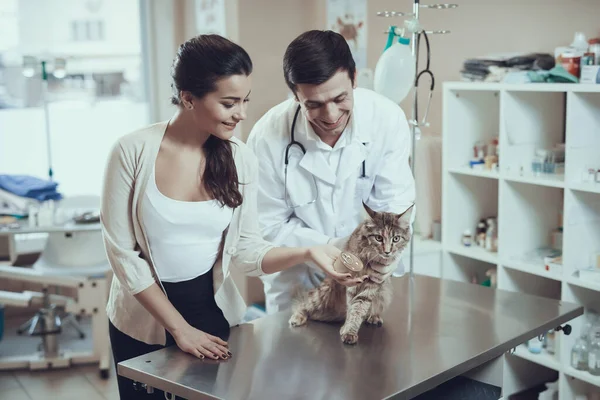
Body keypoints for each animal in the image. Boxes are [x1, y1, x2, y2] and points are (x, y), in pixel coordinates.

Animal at [290, 203, 412, 344]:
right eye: (379, 238)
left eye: (396, 239)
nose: (387, 252)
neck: (369, 259)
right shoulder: (352, 282)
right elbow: (352, 307)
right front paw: (347, 329)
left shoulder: (373, 285)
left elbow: (358, 308)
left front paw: (350, 330)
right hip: (323, 293)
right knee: (304, 302)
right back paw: (297, 316)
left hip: (384, 294)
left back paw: (373, 316)